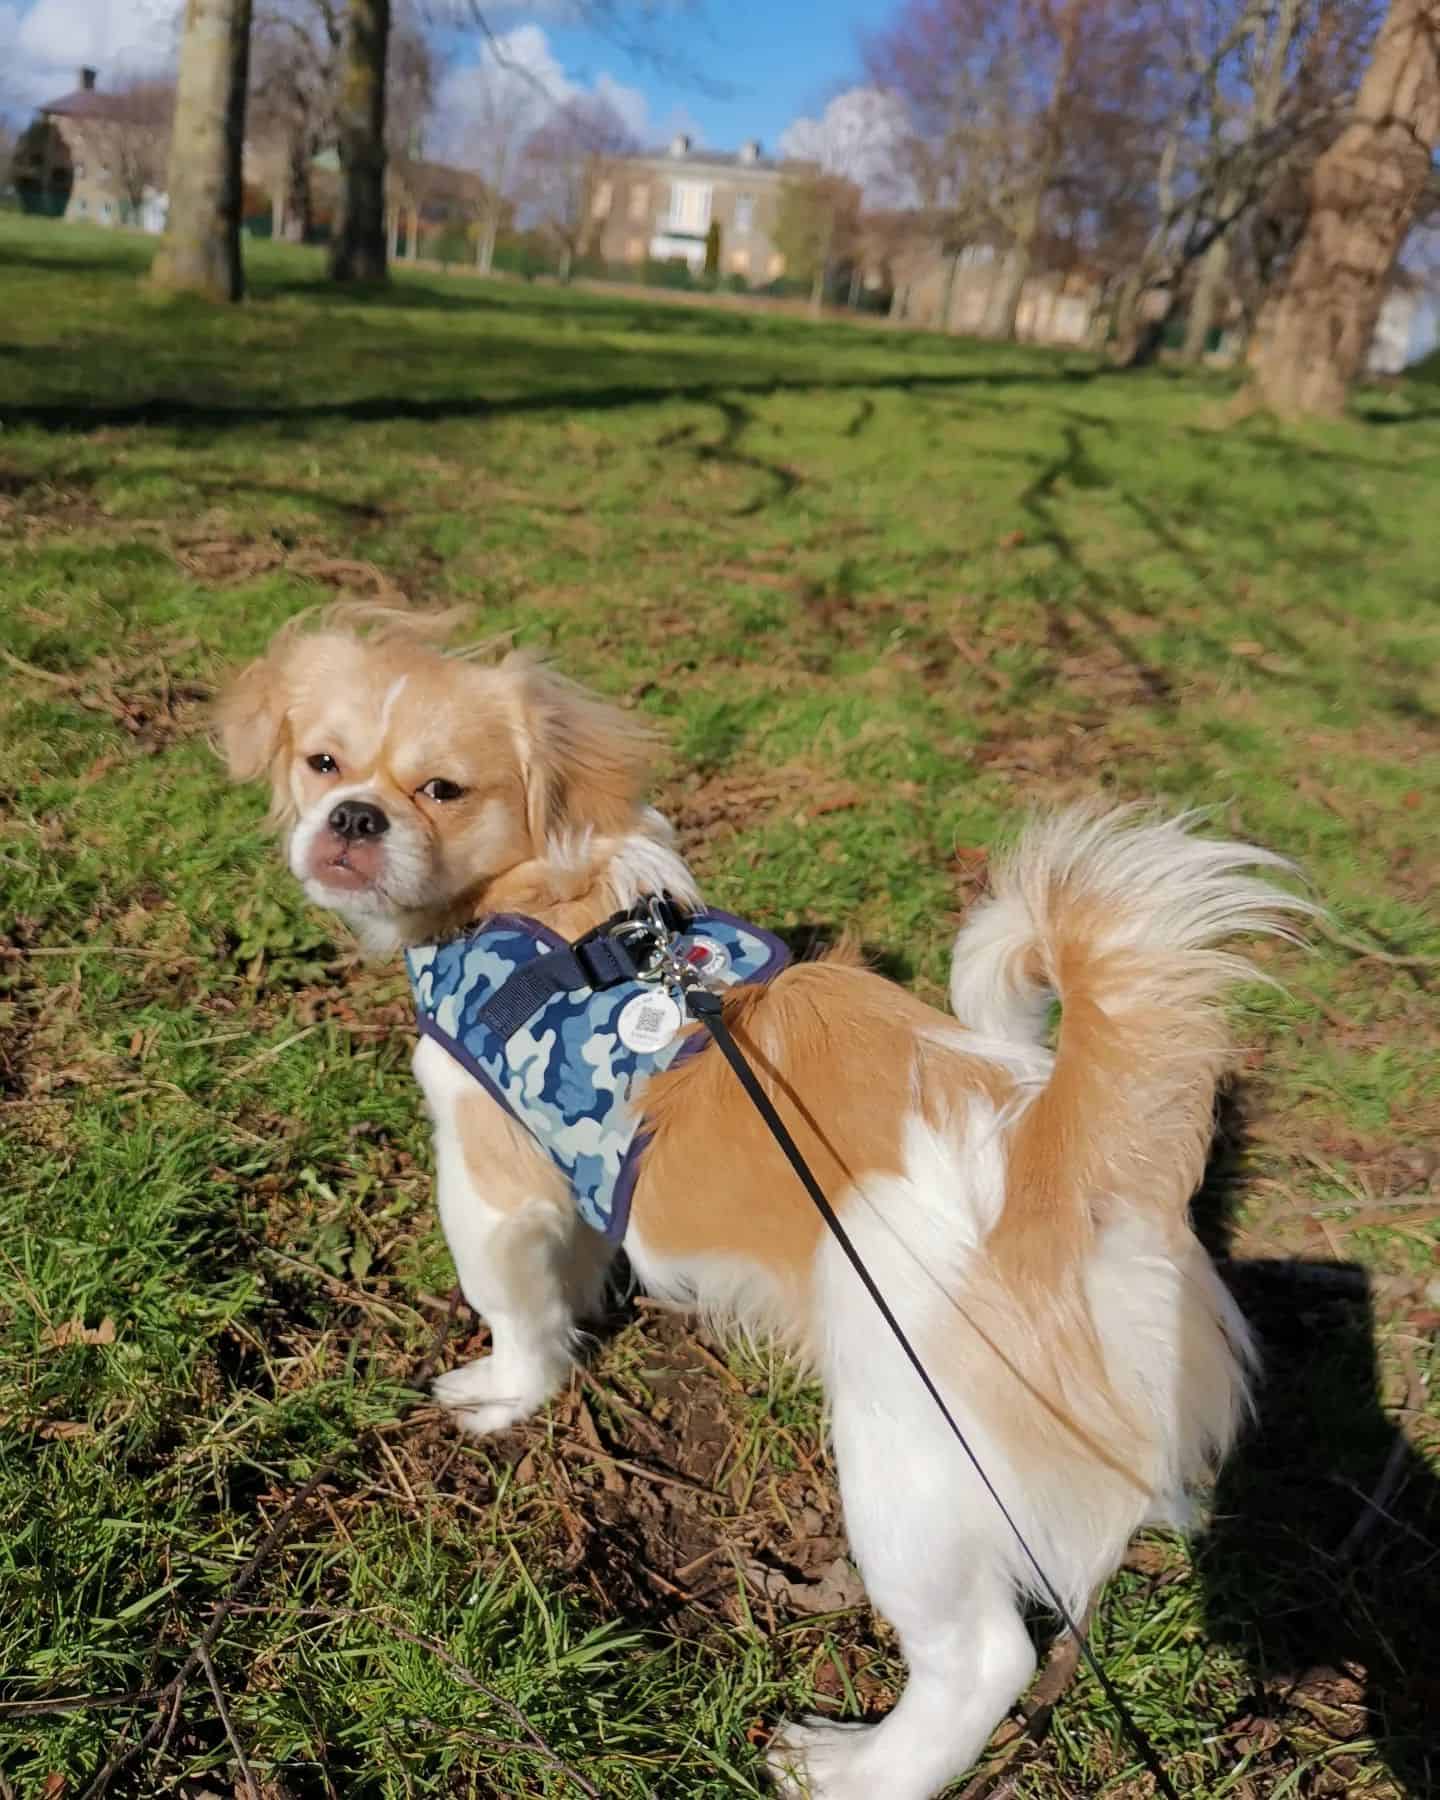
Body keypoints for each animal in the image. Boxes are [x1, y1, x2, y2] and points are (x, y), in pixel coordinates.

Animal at [219, 604, 1310, 1800]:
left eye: (443, 790)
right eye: (324, 764)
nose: (352, 818)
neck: (551, 904)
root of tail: (1060, 1172)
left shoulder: (488, 1179)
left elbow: (515, 1314)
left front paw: (506, 1395)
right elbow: (580, 1266)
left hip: (911, 1465)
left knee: (981, 1663)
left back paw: (847, 1769)